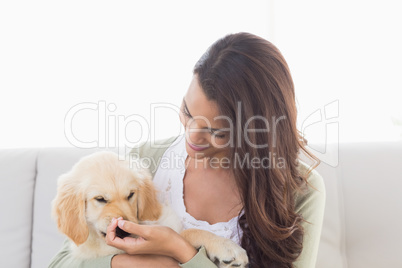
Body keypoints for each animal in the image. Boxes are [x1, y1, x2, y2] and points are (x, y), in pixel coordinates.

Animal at [51, 152, 248, 266]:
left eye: (131, 194)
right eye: (100, 199)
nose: (123, 230)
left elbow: (186, 232)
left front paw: (226, 247)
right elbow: (184, 234)